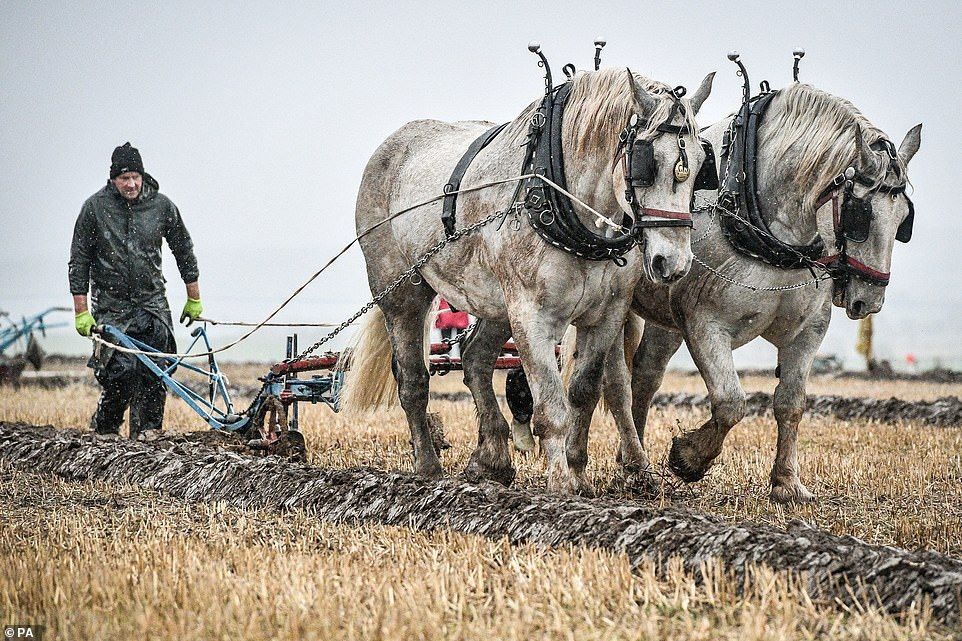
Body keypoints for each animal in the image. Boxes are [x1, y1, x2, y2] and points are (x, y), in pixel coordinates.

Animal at [340, 65, 712, 492]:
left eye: (701, 163)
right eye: (646, 163)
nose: (674, 263)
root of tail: (392, 144)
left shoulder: (606, 315)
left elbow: (583, 392)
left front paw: (577, 472)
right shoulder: (532, 316)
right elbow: (551, 407)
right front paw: (562, 485)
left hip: (497, 303)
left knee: (476, 358)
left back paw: (491, 459)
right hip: (403, 291)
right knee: (414, 380)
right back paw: (429, 468)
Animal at [548, 79, 916, 500]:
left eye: (904, 220)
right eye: (860, 215)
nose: (869, 300)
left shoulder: (808, 331)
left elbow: (791, 403)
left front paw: (787, 483)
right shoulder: (705, 324)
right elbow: (730, 402)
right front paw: (689, 457)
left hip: (663, 315)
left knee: (645, 377)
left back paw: (632, 465)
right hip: (613, 309)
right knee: (610, 385)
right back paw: (615, 463)